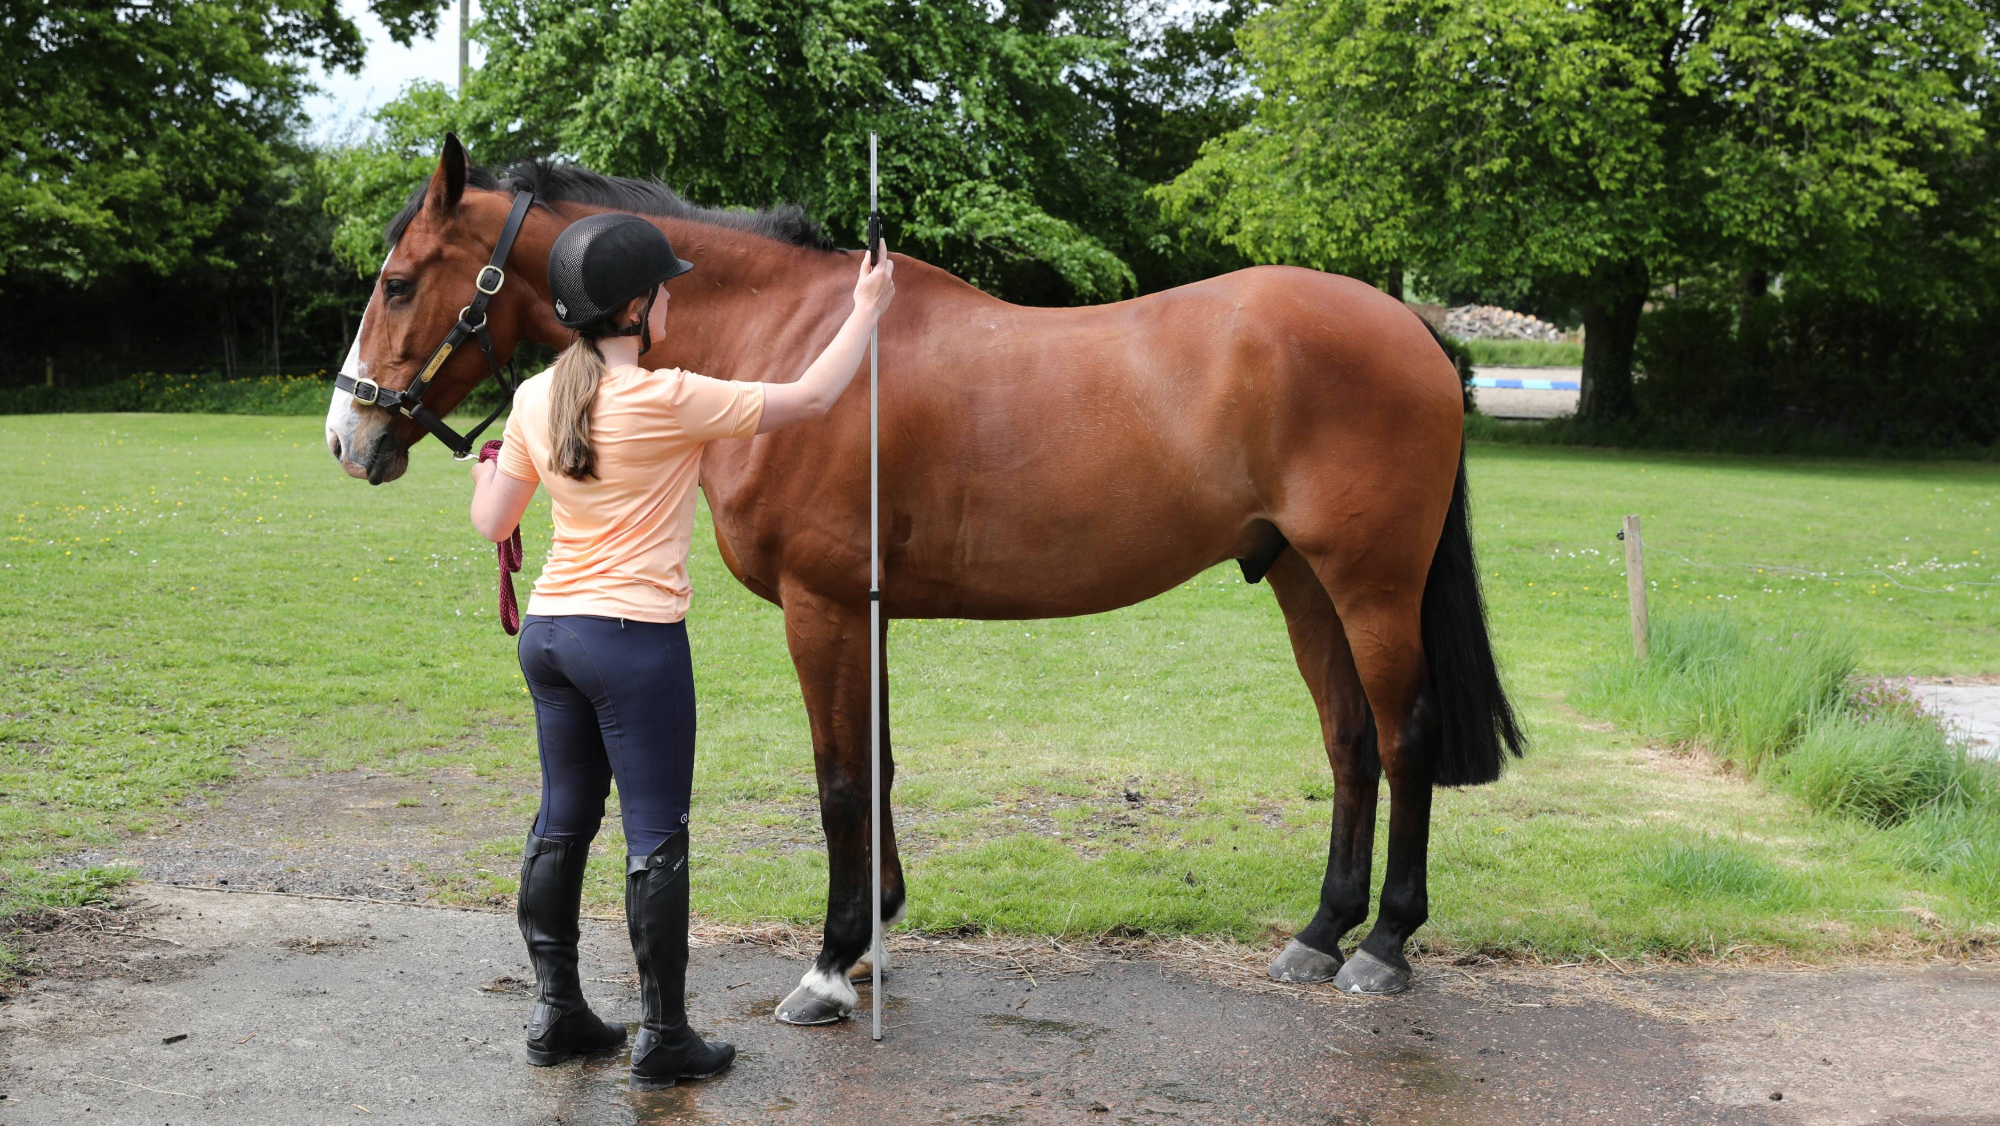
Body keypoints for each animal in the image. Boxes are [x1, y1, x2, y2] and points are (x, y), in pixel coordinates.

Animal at [325, 136, 1524, 1024]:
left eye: (398, 282)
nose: (349, 439)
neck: (787, 342)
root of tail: (1410, 327)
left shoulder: (820, 609)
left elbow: (838, 780)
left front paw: (826, 966)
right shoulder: (867, 613)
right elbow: (880, 767)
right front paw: (872, 934)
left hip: (1368, 585)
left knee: (1404, 736)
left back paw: (1383, 944)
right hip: (1301, 580)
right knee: (1349, 741)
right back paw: (1320, 935)